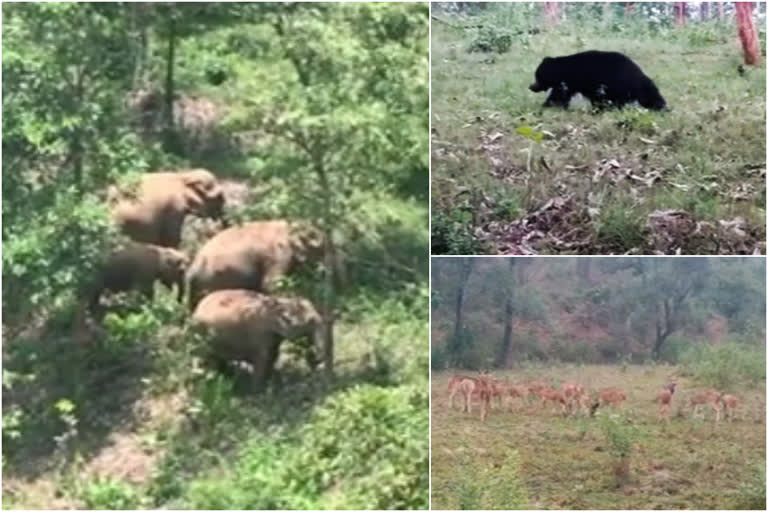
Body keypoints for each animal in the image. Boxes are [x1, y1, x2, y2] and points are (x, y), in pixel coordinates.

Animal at [194, 290, 326, 386]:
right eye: (310, 321)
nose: (317, 360)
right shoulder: (259, 335)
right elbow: (262, 360)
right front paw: (257, 390)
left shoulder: (272, 337)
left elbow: (273, 356)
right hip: (204, 336)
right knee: (208, 359)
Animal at [528, 50, 664, 111]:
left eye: (537, 76)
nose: (531, 86)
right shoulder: (570, 84)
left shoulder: (569, 81)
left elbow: (558, 96)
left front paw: (546, 106)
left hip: (619, 85)